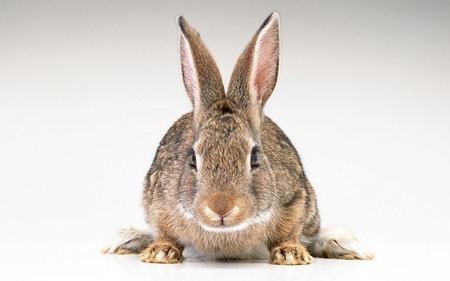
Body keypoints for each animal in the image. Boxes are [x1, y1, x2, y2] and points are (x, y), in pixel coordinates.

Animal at [103, 12, 372, 264]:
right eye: (193, 159)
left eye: (254, 158)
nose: (221, 208)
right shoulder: (159, 202)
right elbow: (165, 232)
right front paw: (161, 253)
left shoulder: (296, 200)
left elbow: (288, 233)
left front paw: (291, 255)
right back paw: (127, 240)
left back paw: (344, 245)